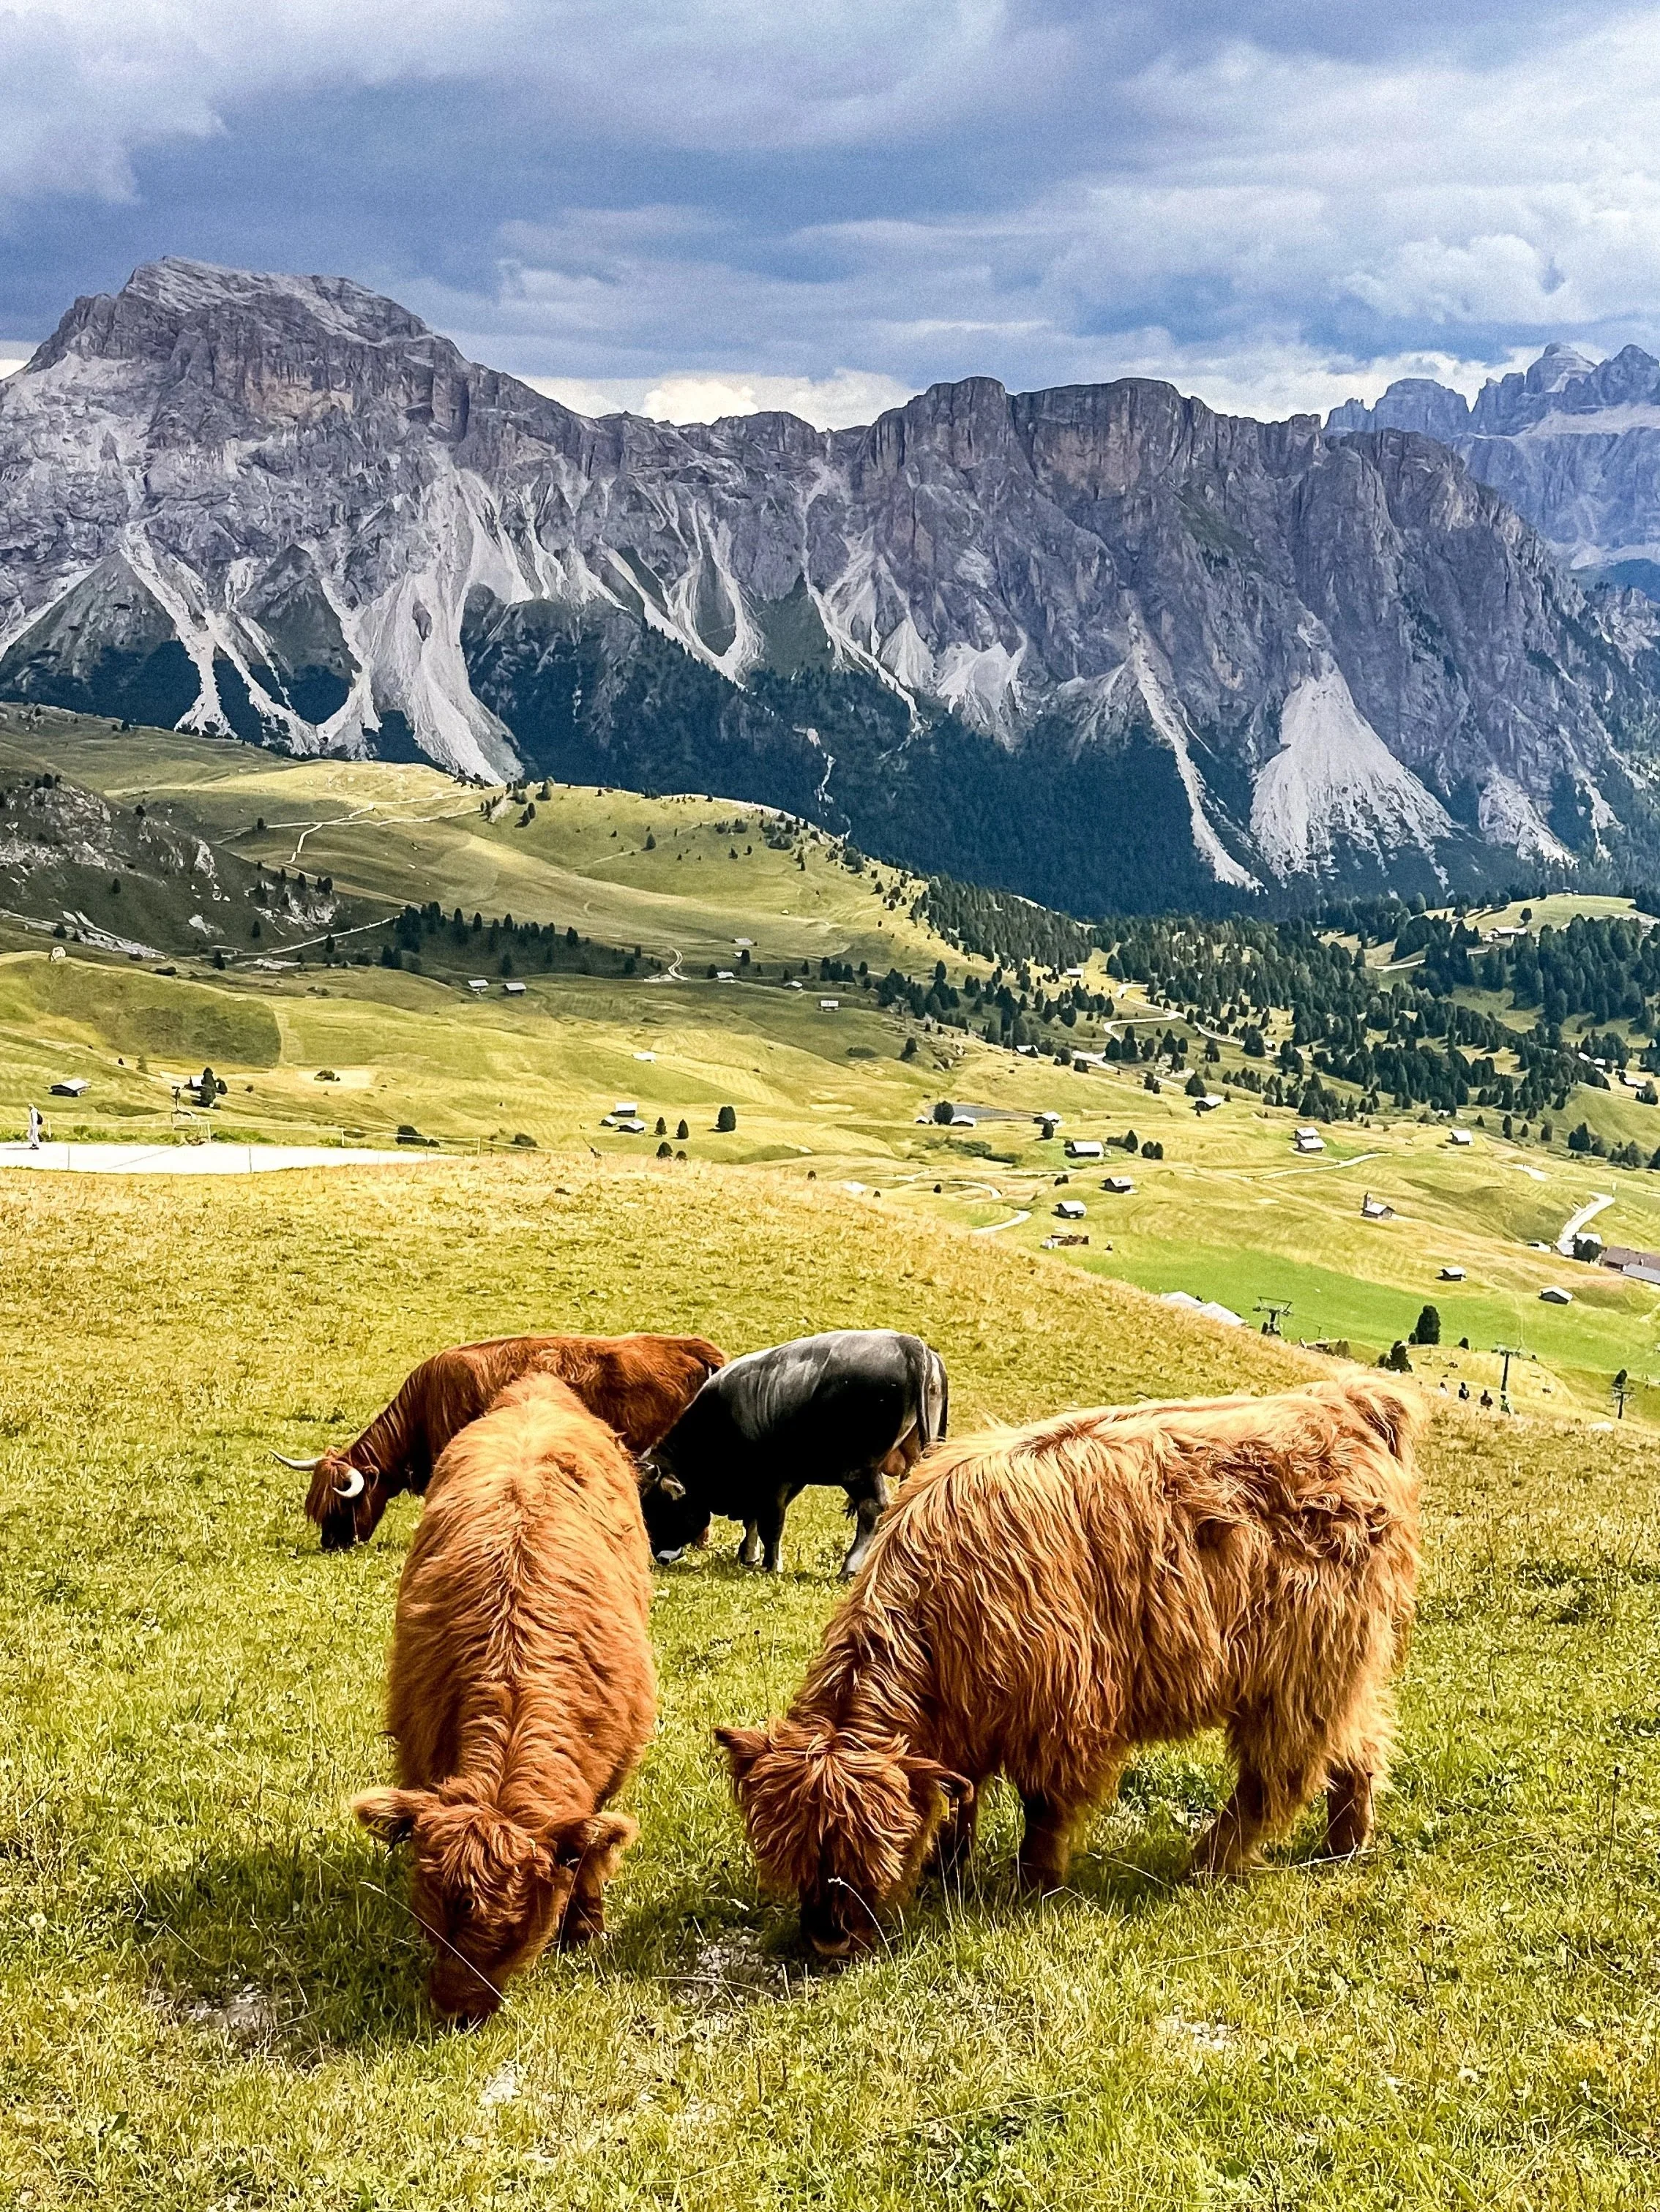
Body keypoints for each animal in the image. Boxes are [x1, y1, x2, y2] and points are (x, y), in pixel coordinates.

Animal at [352, 1371, 656, 2021]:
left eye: (515, 1927)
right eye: (428, 1920)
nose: (456, 2009)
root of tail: (538, 1385)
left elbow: (591, 1852)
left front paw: (584, 1927)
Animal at [640, 1329, 949, 1578]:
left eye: (656, 1507)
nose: (659, 1557)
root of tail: (910, 1345)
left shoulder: (772, 1481)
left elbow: (771, 1523)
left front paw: (771, 1564)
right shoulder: (789, 1479)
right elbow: (754, 1520)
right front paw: (749, 1555)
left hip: (859, 1471)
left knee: (872, 1508)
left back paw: (849, 1568)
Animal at [716, 1373, 1423, 1955]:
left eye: (868, 1848)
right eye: (788, 1850)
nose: (826, 1938)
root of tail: (1347, 1402)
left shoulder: (1062, 1713)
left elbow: (1042, 1809)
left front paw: (1033, 1886)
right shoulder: (963, 1734)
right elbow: (958, 1800)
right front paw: (947, 1877)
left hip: (1298, 1674)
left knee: (1273, 1780)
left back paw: (1205, 1865)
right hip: (1337, 1672)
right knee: (1357, 1748)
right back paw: (1342, 1847)